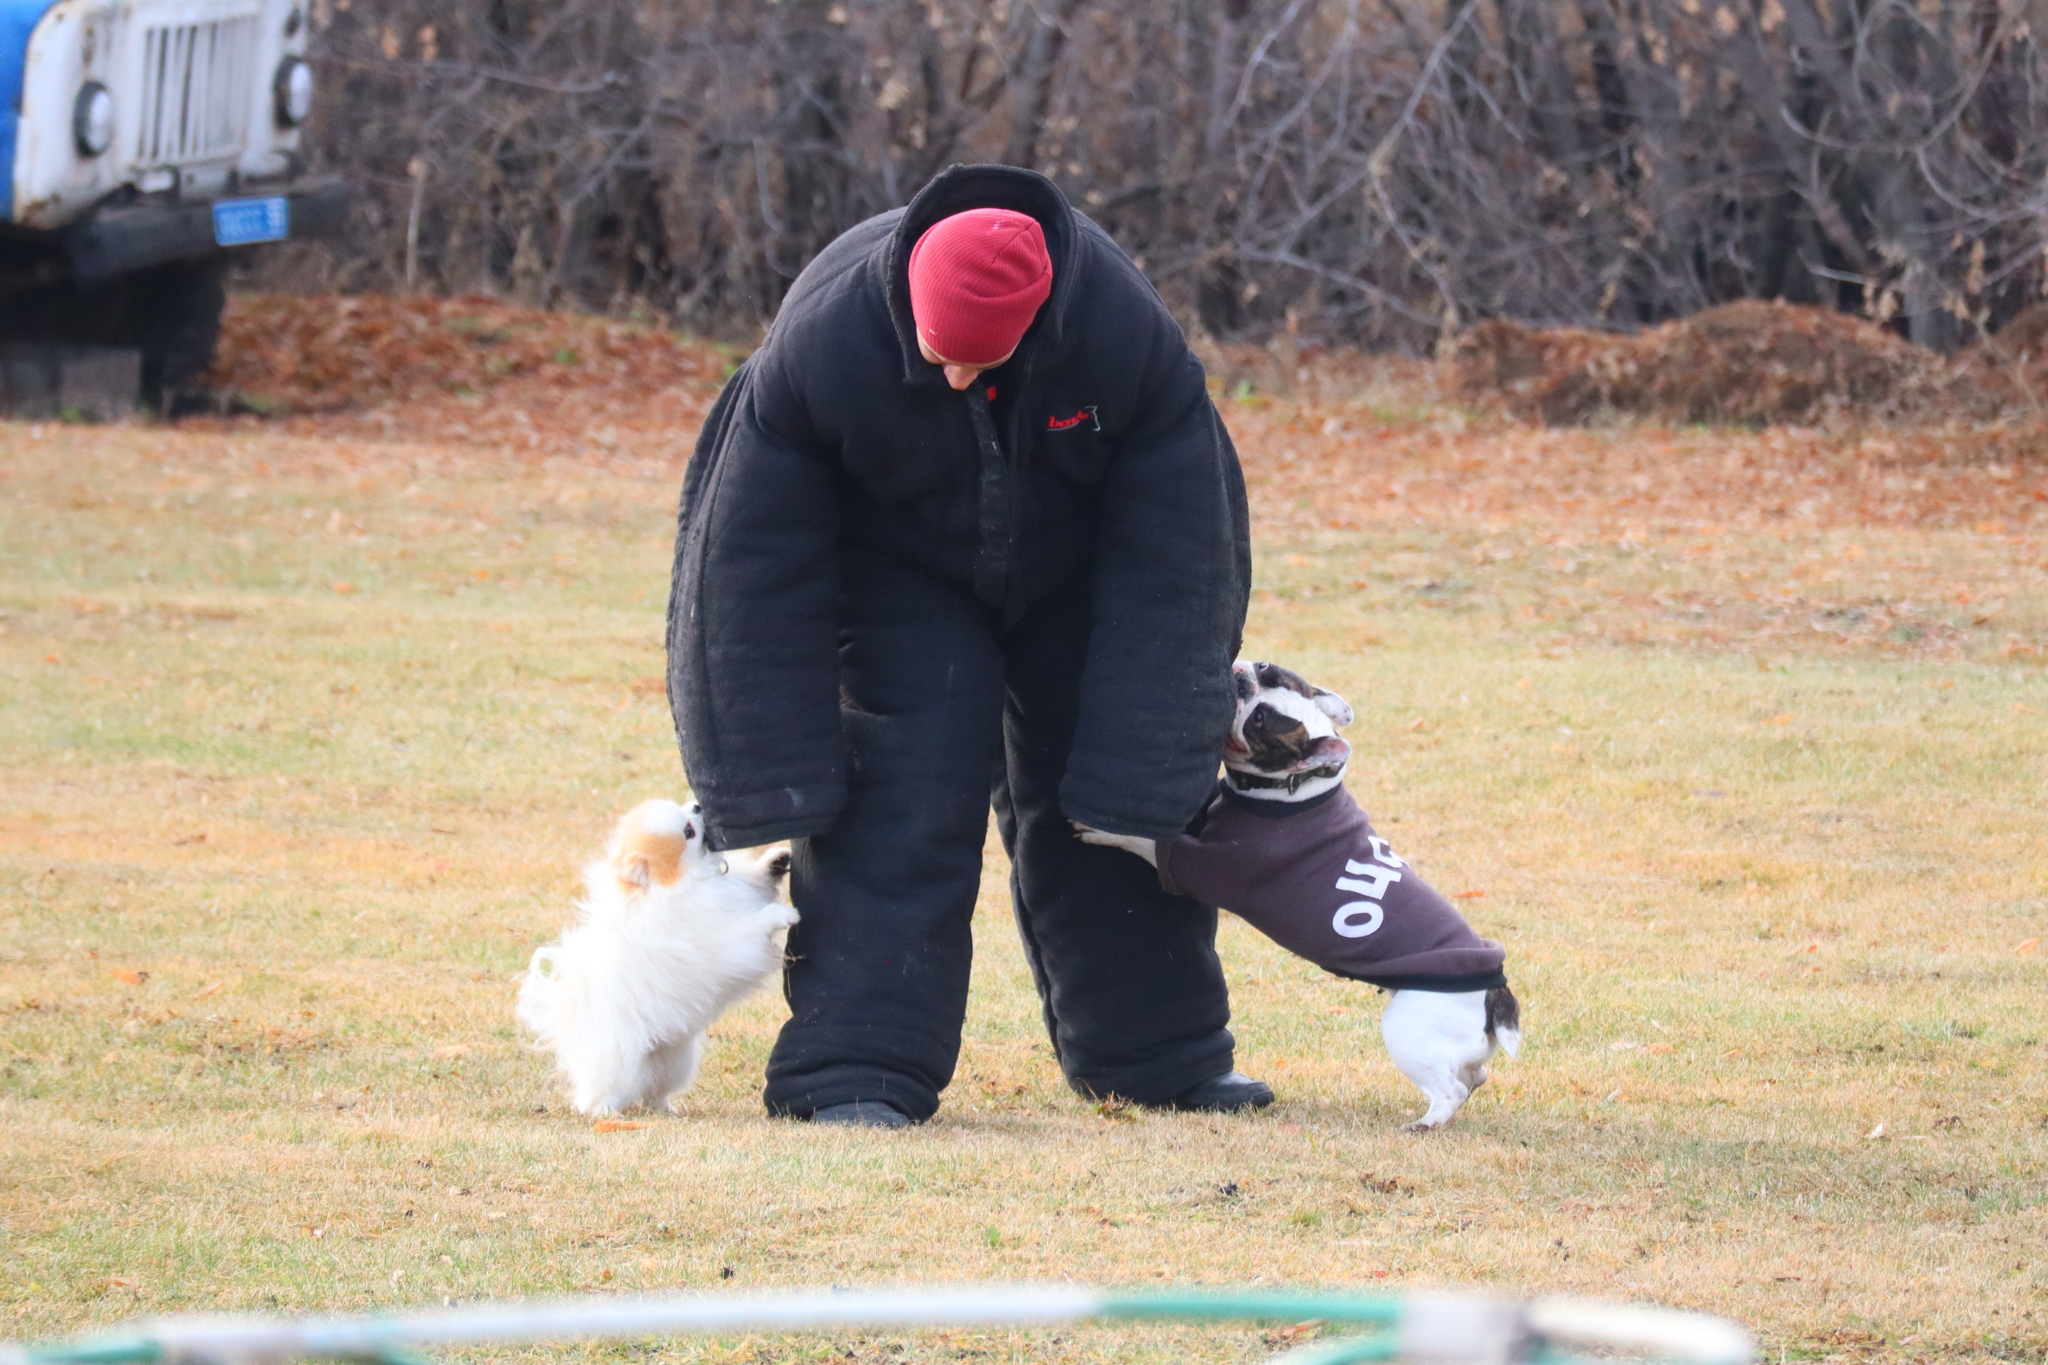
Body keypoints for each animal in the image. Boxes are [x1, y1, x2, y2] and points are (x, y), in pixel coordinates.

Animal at [516, 794, 794, 1113]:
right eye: (688, 831)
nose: (697, 805)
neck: (689, 878)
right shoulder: (725, 939)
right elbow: (753, 924)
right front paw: (782, 914)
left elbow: (758, 882)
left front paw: (776, 860)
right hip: (620, 1066)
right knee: (602, 1096)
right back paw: (606, 1112)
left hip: (674, 1061)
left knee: (653, 1091)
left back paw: (666, 1109)